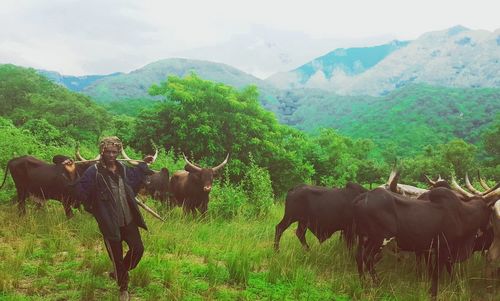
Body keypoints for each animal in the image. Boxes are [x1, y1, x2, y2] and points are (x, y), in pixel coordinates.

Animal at [354, 186, 494, 296]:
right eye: (489, 211)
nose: (489, 227)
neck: (463, 214)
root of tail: (364, 196)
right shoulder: (443, 248)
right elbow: (437, 273)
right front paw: (433, 293)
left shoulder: (440, 251)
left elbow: (447, 272)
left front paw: (456, 288)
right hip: (379, 239)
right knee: (367, 257)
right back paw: (377, 283)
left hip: (363, 238)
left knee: (359, 257)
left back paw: (363, 284)